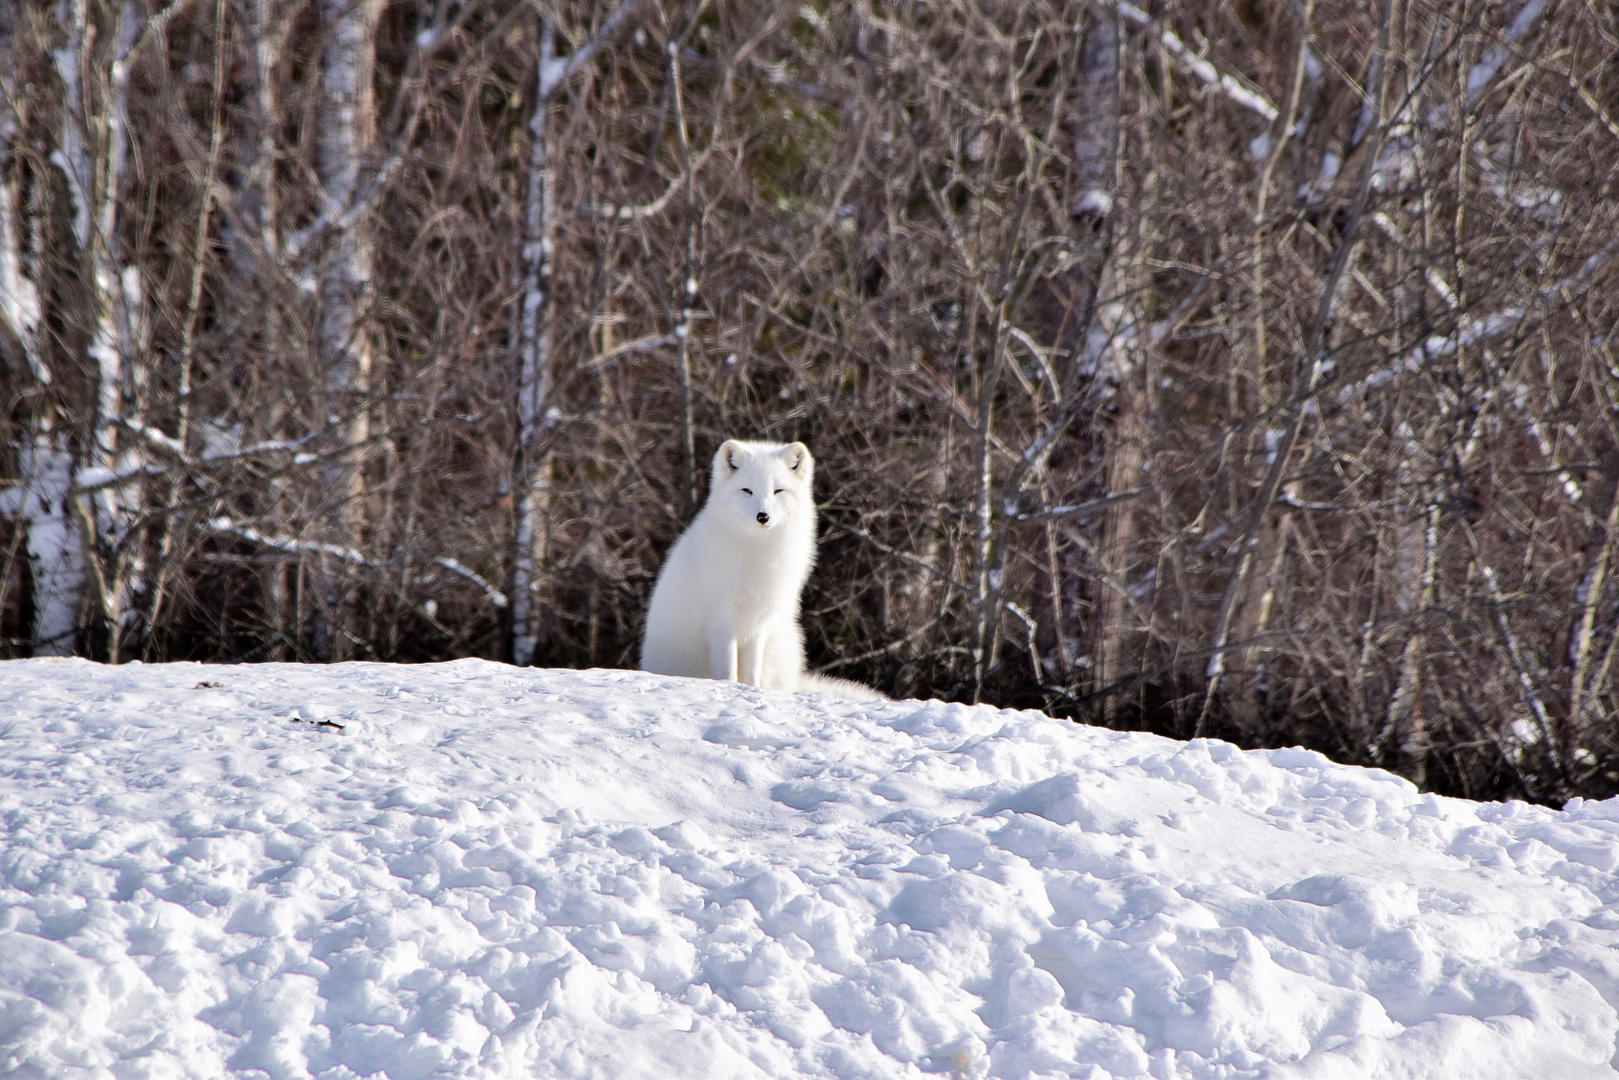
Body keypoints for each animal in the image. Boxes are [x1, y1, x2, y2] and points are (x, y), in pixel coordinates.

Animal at [637, 440, 887, 702]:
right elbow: (728, 670)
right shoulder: (722, 619)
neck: (757, 556)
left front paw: (751, 691)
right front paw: (730, 689)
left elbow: (751, 672)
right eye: (747, 490)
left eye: (778, 491)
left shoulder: (759, 622)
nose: (762, 516)